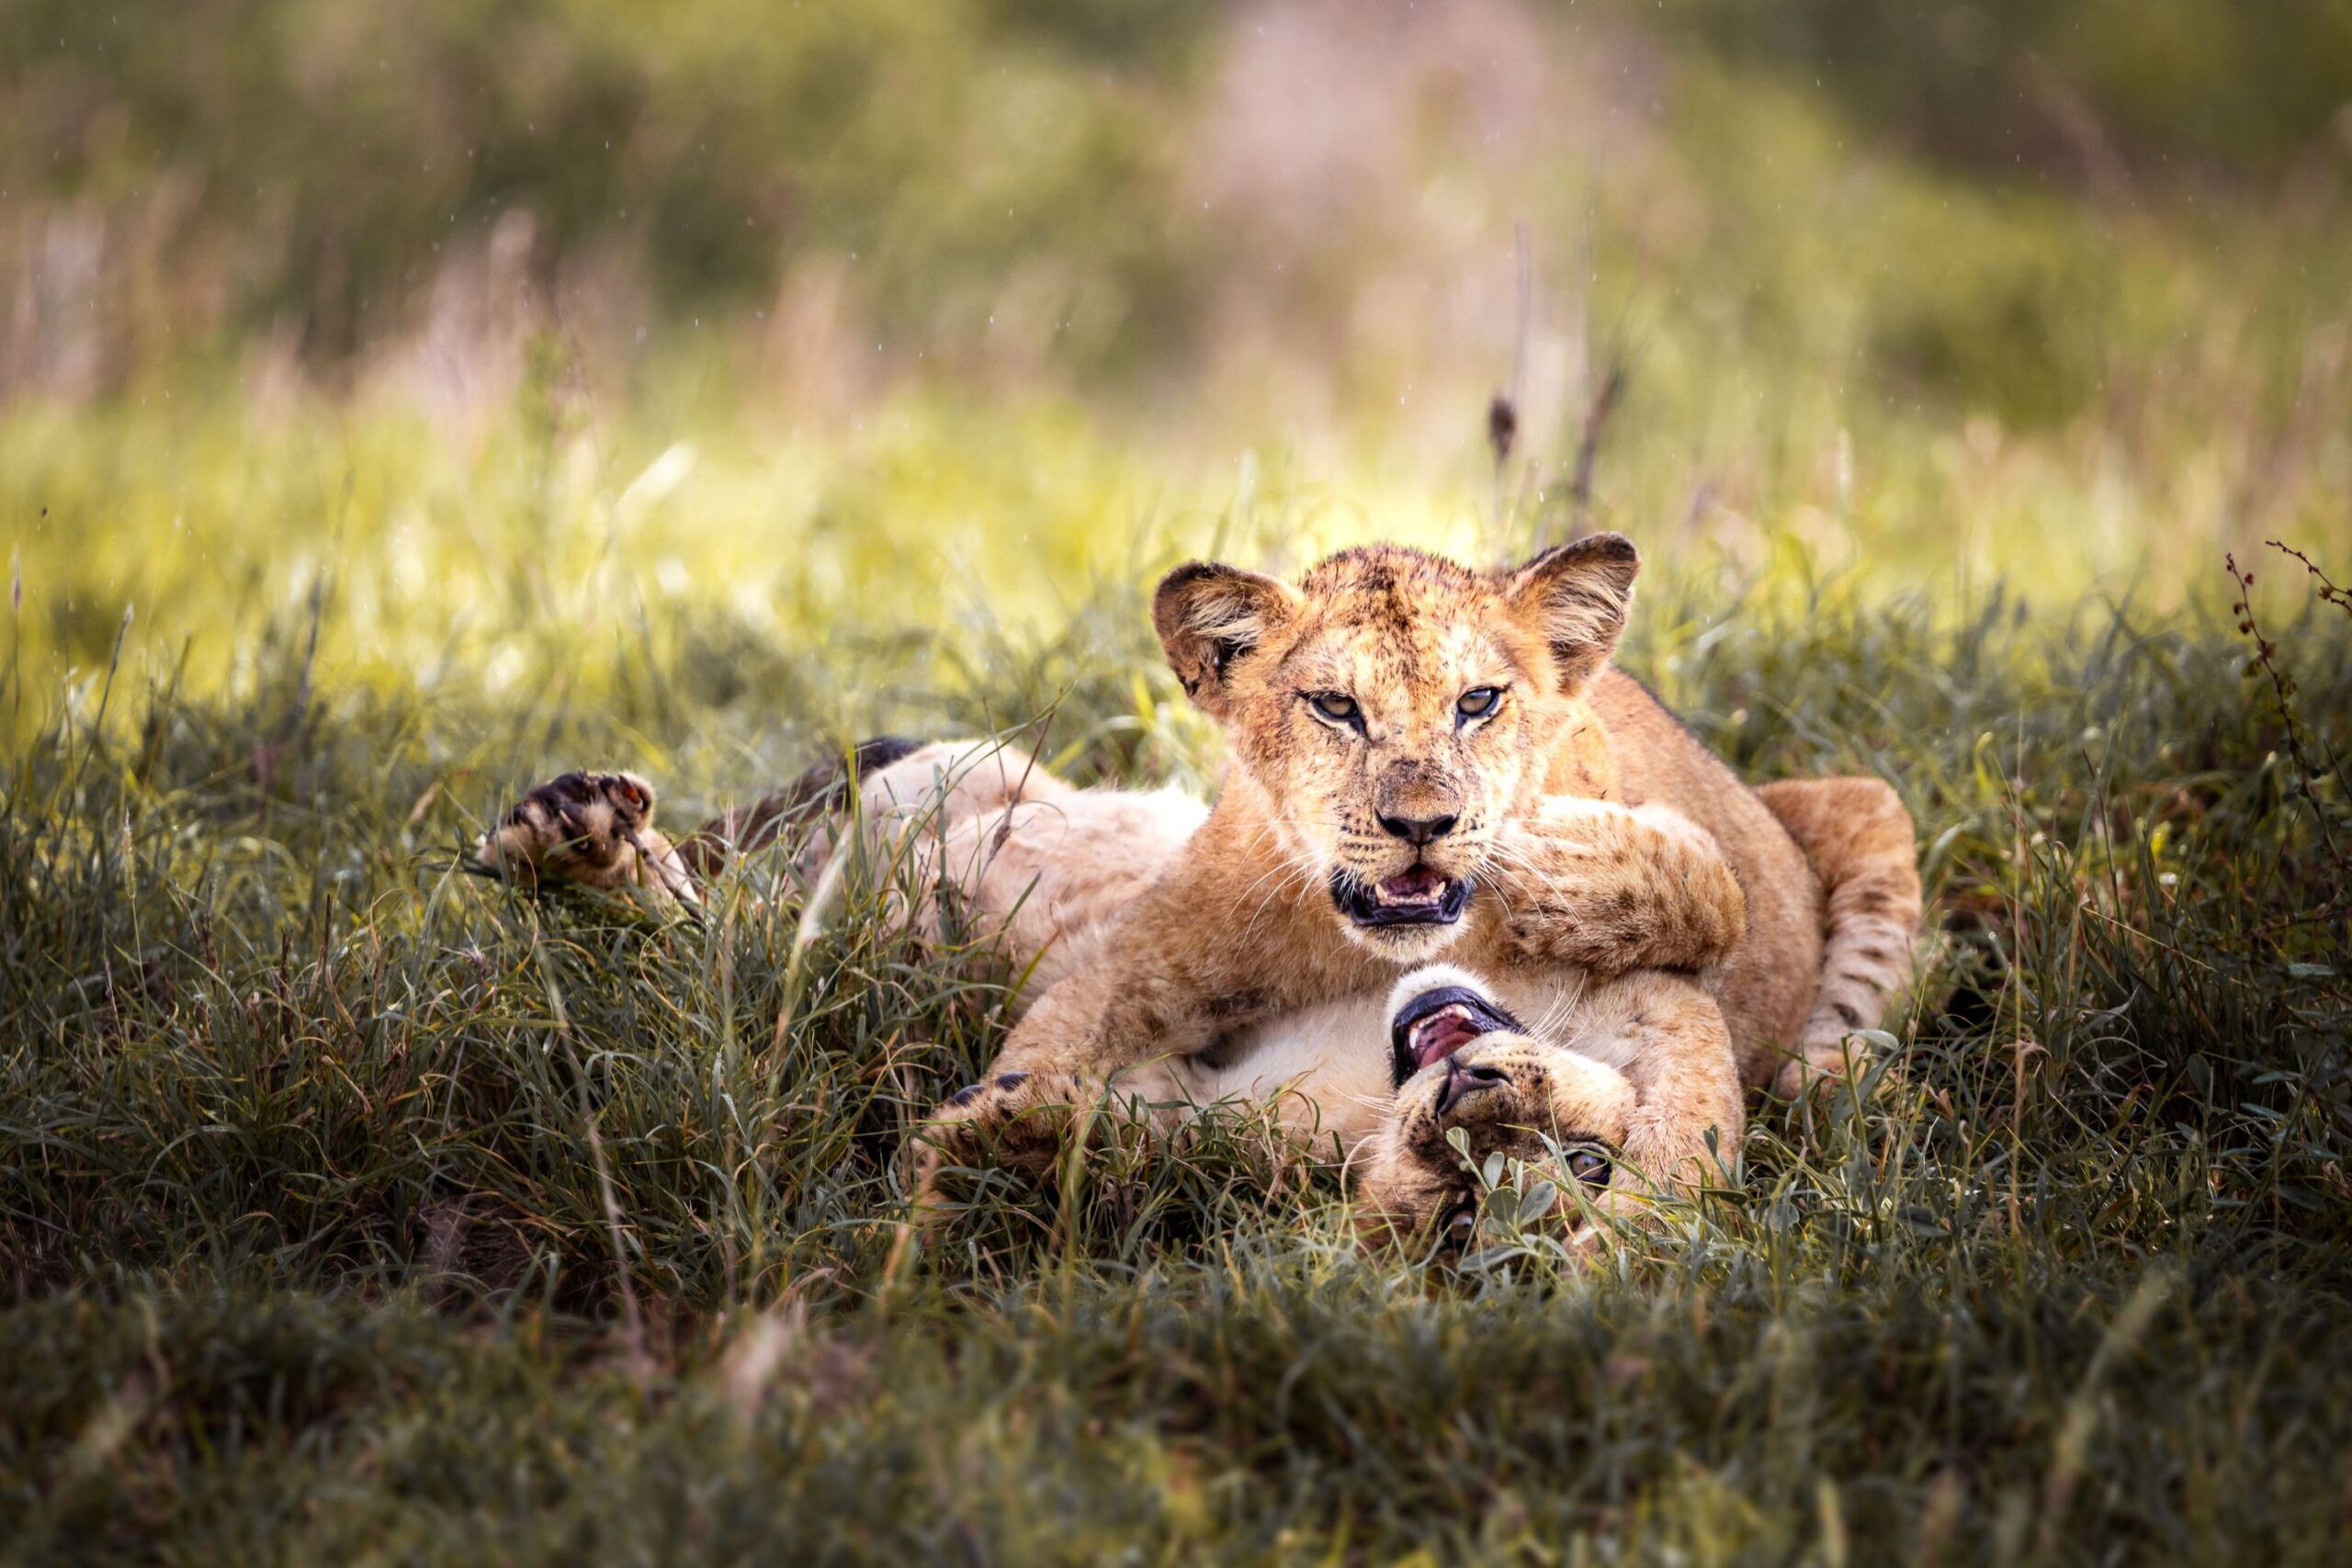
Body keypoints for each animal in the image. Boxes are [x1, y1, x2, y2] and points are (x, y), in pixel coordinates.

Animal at [475, 536, 1921, 1241]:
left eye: (1480, 701)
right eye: (1334, 706)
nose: (1422, 827)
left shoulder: (1222, 1112)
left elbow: (1664, 1199)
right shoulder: (1143, 966)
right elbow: (1034, 1060)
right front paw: (923, 1229)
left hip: (1866, 818)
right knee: (755, 915)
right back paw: (571, 833)